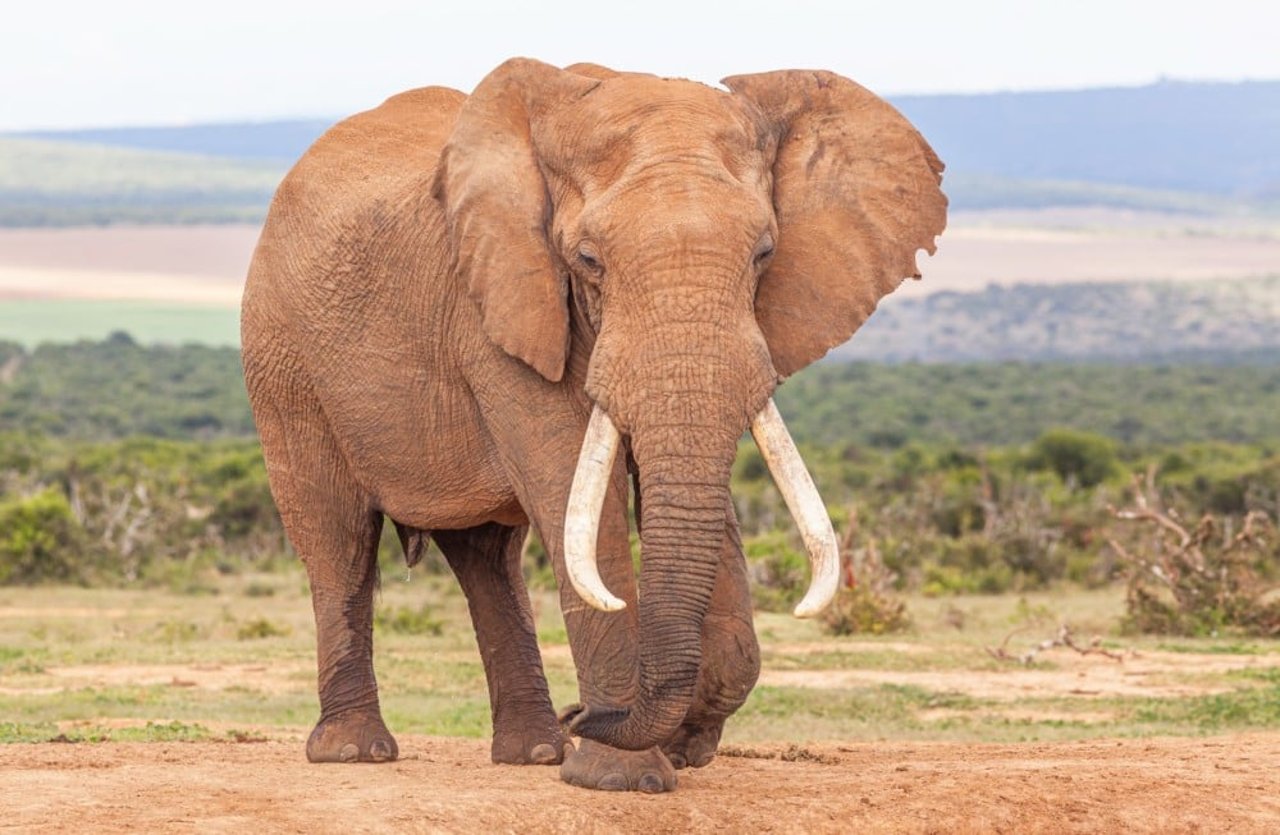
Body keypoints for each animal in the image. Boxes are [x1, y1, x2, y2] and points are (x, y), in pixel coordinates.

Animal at [240, 60, 947, 794]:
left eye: (764, 253)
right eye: (587, 260)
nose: (582, 712)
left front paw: (679, 747)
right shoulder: (497, 308)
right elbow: (579, 502)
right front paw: (622, 777)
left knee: (488, 555)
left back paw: (536, 752)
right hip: (282, 356)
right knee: (339, 539)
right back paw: (355, 751)